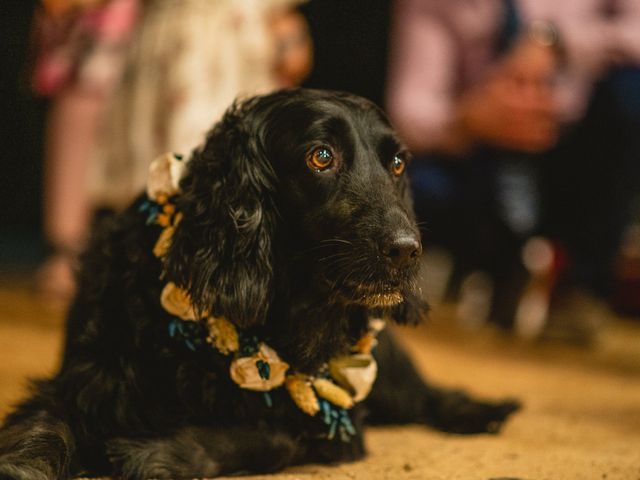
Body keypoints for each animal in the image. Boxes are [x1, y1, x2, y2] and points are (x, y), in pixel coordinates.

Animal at [0, 89, 520, 476]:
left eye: (397, 164)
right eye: (321, 156)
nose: (407, 251)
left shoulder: (330, 423)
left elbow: (258, 437)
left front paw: (154, 453)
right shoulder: (85, 384)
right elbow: (42, 432)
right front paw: (24, 466)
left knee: (429, 397)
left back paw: (485, 413)